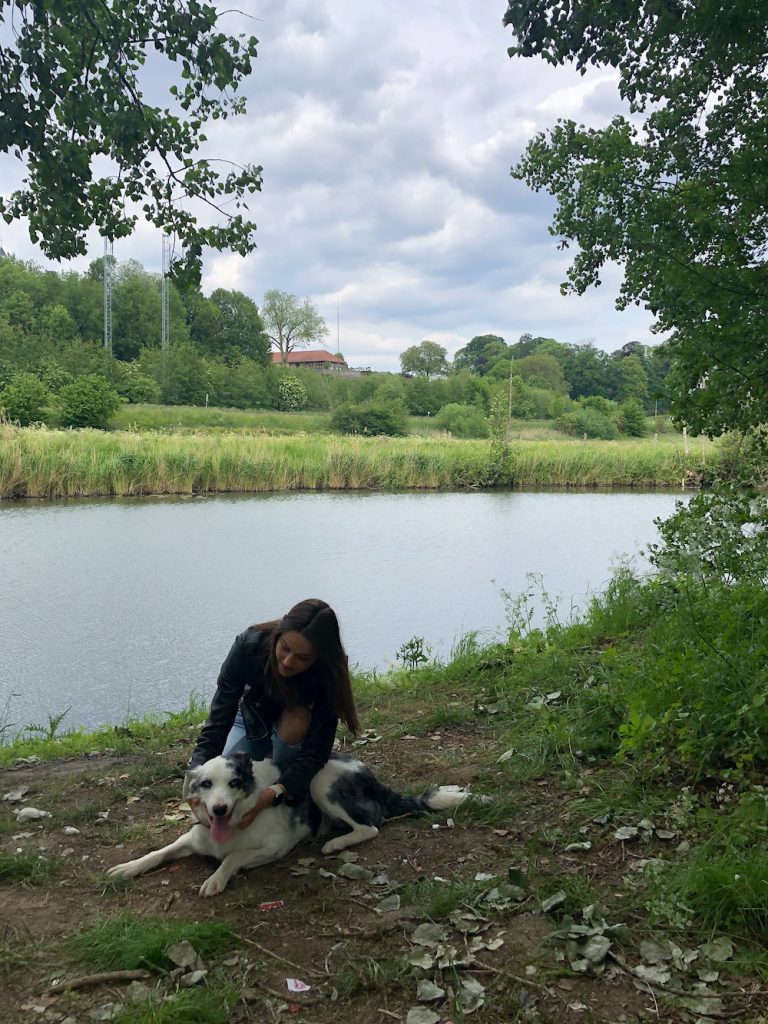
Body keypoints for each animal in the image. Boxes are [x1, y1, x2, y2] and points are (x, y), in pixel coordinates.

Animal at [107, 753, 468, 897]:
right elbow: (158, 852)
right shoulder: (193, 838)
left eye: (234, 783)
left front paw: (216, 879)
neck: (232, 827)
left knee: (371, 827)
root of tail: (374, 778)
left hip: (321, 783)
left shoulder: (274, 847)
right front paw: (128, 867)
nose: (220, 809)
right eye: (206, 784)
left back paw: (335, 842)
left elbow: (232, 857)